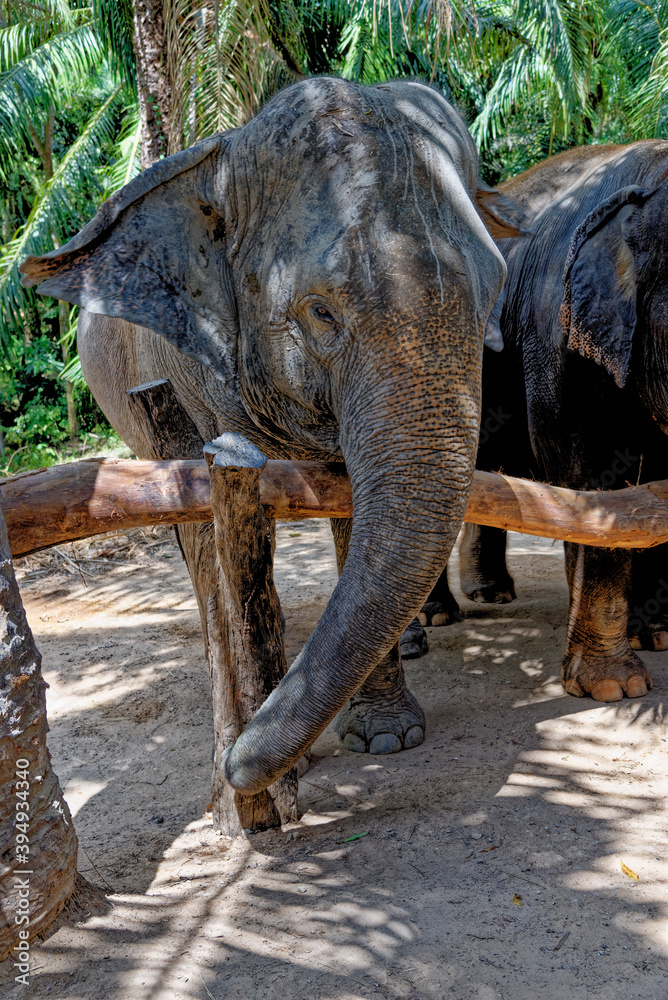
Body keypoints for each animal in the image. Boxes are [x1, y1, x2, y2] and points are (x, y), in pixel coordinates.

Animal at [20, 76, 525, 795]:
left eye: (493, 294)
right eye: (320, 311)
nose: (236, 766)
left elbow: (351, 508)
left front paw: (386, 738)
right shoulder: (192, 376)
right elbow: (227, 528)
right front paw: (291, 753)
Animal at [451, 140, 668, 703]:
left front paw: (658, 634)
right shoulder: (558, 334)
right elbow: (597, 485)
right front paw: (614, 688)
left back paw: (492, 594)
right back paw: (440, 618)